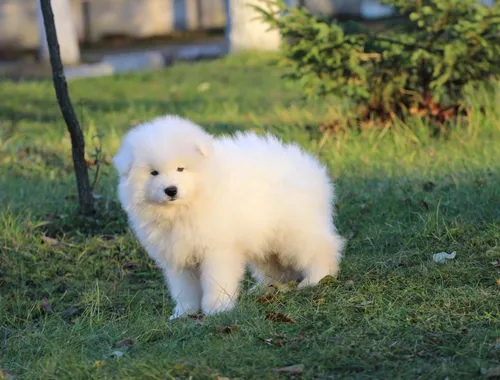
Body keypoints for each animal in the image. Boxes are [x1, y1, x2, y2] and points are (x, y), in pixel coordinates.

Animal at [113, 114, 344, 320]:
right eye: (153, 173)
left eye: (180, 168)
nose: (170, 190)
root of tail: (311, 166)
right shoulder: (177, 254)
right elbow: (184, 289)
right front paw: (184, 313)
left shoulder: (217, 250)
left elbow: (216, 281)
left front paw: (217, 309)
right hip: (264, 234)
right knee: (274, 264)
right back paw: (264, 288)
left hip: (295, 228)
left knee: (321, 248)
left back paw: (316, 279)